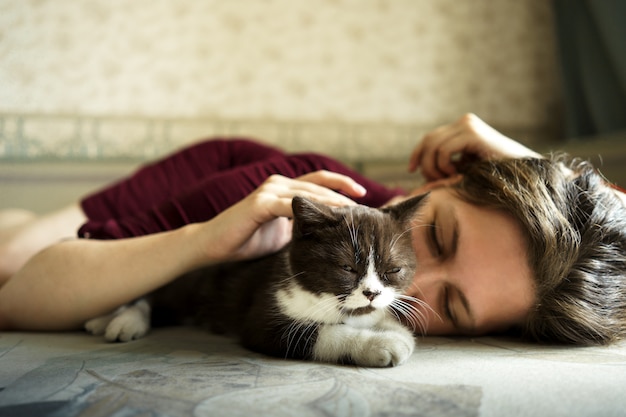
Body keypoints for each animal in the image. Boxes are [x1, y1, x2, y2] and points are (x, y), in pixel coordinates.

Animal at [85, 193, 424, 366]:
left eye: (393, 270)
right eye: (346, 268)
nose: (371, 293)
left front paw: (393, 330)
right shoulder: (264, 312)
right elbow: (317, 333)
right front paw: (382, 344)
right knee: (151, 297)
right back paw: (120, 322)